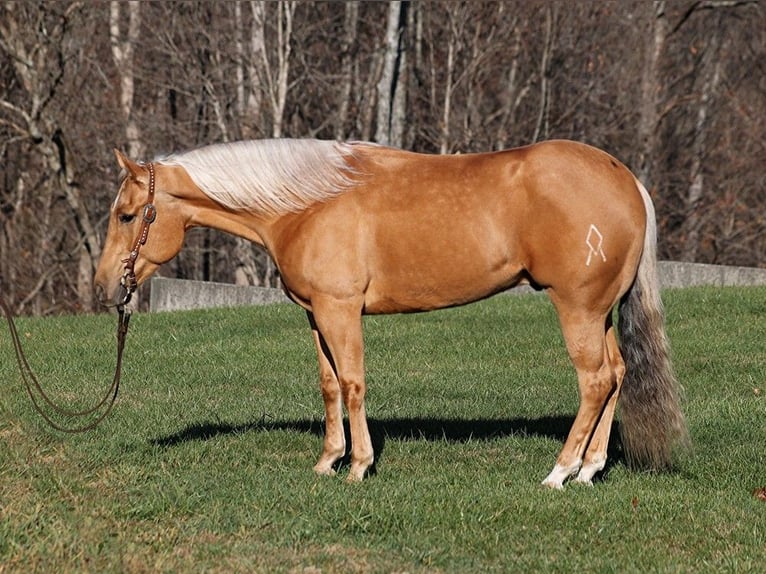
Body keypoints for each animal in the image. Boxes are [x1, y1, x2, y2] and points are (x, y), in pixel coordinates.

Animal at [94, 138, 688, 486]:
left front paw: (358, 467)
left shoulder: (340, 310)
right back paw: (589, 470)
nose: (104, 286)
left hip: (578, 309)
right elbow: (329, 386)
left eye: (127, 215)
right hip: (599, 312)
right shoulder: (316, 315)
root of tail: (625, 180)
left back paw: (560, 473)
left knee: (594, 381)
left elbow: (354, 383)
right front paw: (328, 461)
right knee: (616, 374)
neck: (307, 202)